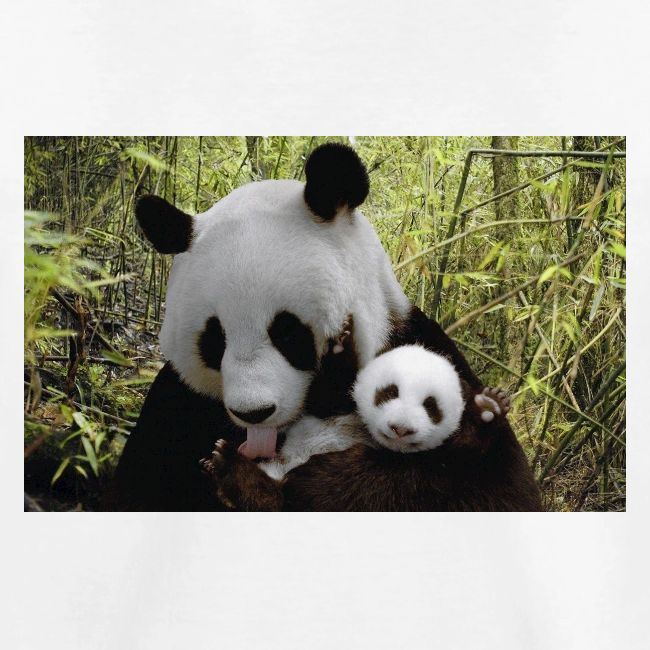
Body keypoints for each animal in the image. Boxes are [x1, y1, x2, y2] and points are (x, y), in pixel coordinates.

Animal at [106, 143, 541, 512]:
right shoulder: (179, 403)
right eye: (215, 339)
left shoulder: (421, 347)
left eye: (288, 332)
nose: (254, 413)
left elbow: (491, 488)